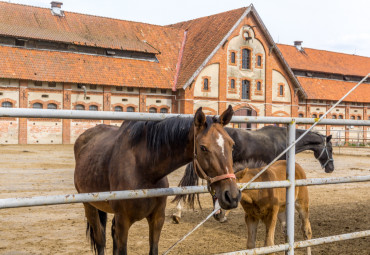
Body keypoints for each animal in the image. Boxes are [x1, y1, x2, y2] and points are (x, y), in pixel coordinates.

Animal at [73, 105, 241, 255]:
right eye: (203, 147)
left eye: (232, 144)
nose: (232, 196)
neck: (143, 170)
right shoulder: (123, 222)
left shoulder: (157, 218)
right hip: (89, 206)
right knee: (100, 240)